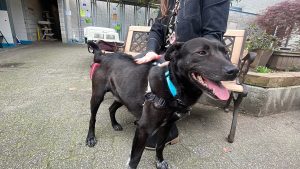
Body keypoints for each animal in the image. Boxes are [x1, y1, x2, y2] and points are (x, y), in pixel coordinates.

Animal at [85, 37, 238, 168]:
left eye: (225, 53)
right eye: (201, 52)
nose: (234, 70)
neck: (173, 87)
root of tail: (104, 56)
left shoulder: (167, 125)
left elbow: (160, 146)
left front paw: (159, 162)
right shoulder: (143, 128)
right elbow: (135, 158)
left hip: (123, 96)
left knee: (111, 108)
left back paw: (115, 124)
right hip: (97, 96)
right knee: (92, 118)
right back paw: (90, 138)